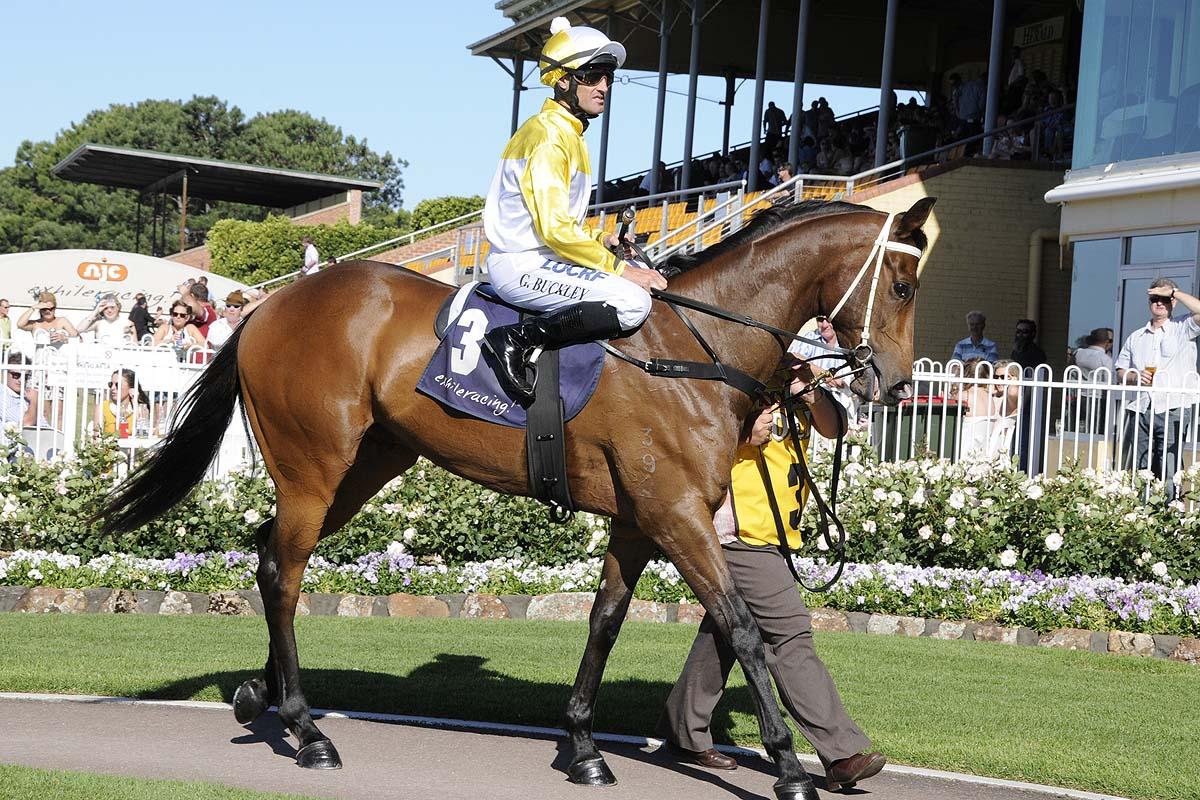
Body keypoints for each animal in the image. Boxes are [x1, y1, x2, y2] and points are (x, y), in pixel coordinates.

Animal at [98, 196, 935, 800]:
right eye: (901, 284)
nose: (895, 382)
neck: (690, 351)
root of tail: (267, 307)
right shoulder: (677, 517)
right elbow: (745, 630)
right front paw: (791, 770)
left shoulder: (639, 522)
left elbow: (604, 624)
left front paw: (584, 746)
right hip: (314, 468)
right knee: (283, 574)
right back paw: (308, 731)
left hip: (363, 469)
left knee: (270, 551)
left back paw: (258, 696)